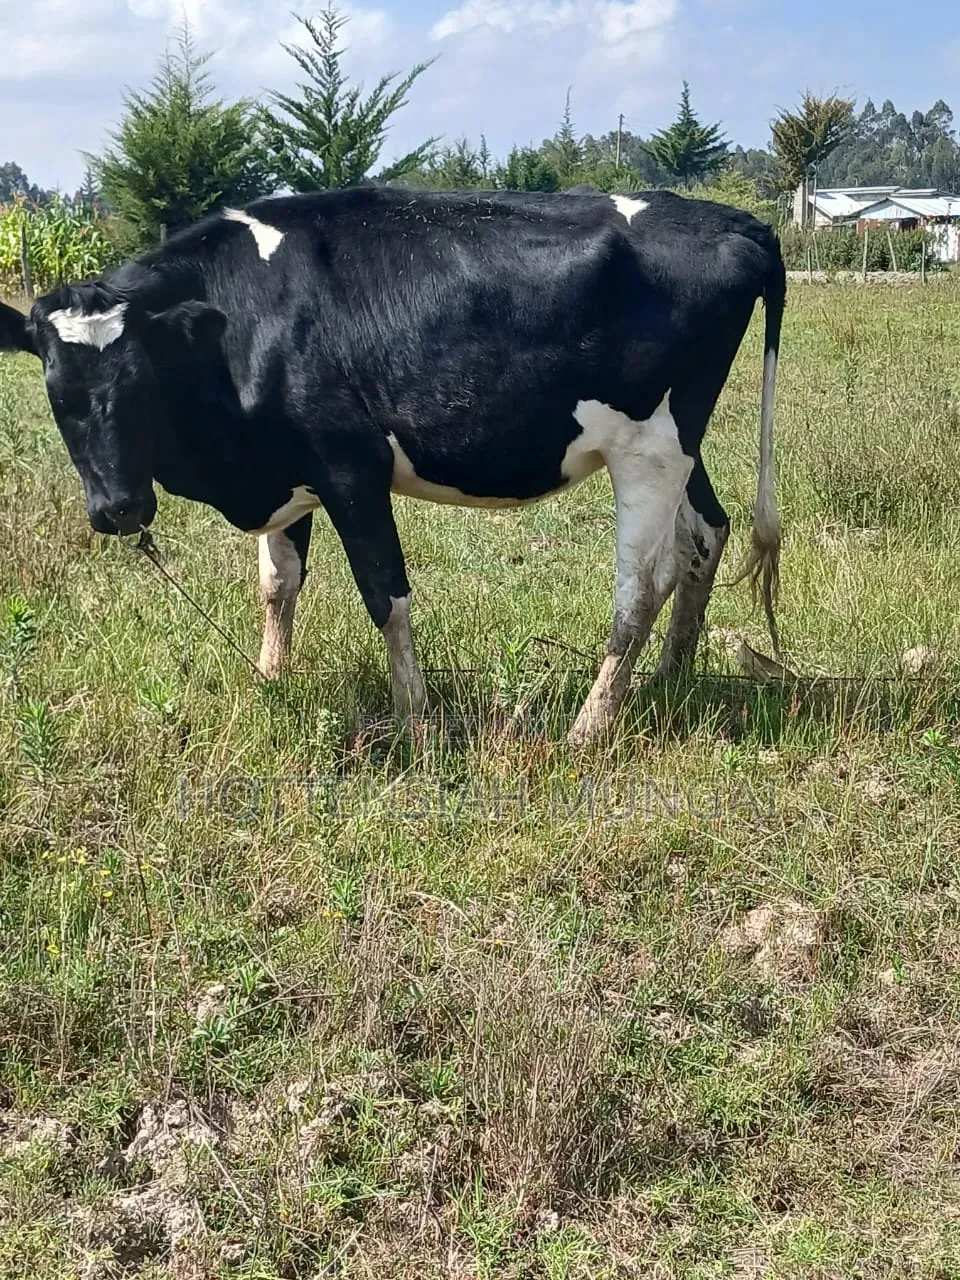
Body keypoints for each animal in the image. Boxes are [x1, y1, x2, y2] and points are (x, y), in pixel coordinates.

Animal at [0, 187, 785, 745]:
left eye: (139, 383)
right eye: (58, 395)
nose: (119, 510)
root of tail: (734, 220)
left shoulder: (351, 467)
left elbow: (386, 595)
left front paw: (416, 721)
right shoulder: (286, 472)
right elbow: (277, 585)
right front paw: (270, 683)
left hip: (648, 447)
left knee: (641, 584)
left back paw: (589, 726)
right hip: (678, 442)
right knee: (704, 535)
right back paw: (666, 679)